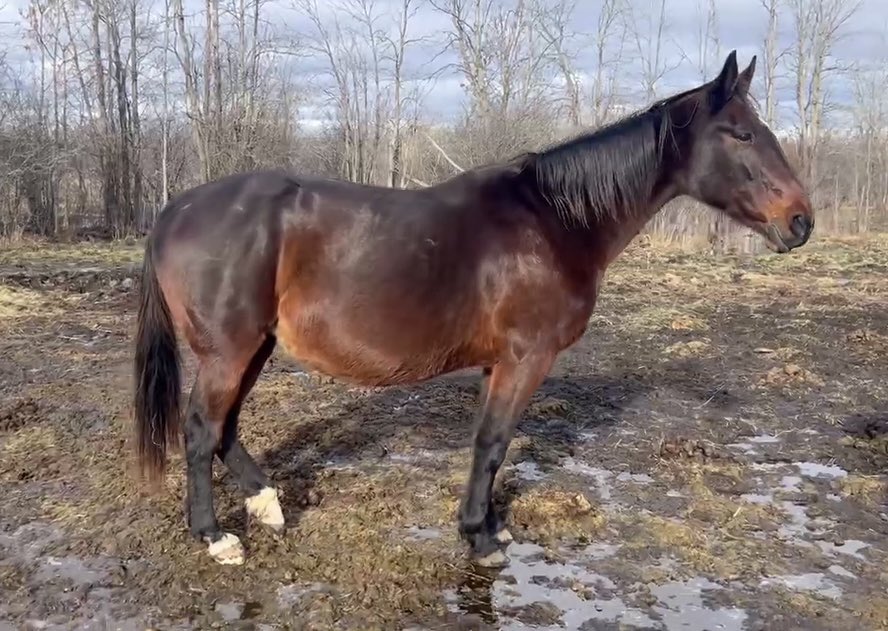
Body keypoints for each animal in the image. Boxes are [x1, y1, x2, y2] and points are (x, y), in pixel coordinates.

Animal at [133, 51, 813, 568]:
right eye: (743, 134)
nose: (800, 222)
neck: (556, 220)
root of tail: (174, 210)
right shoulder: (526, 358)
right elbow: (493, 442)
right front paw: (480, 538)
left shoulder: (498, 362)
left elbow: (491, 444)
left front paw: (484, 525)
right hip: (230, 349)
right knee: (201, 428)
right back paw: (215, 537)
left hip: (255, 344)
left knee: (224, 428)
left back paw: (267, 505)